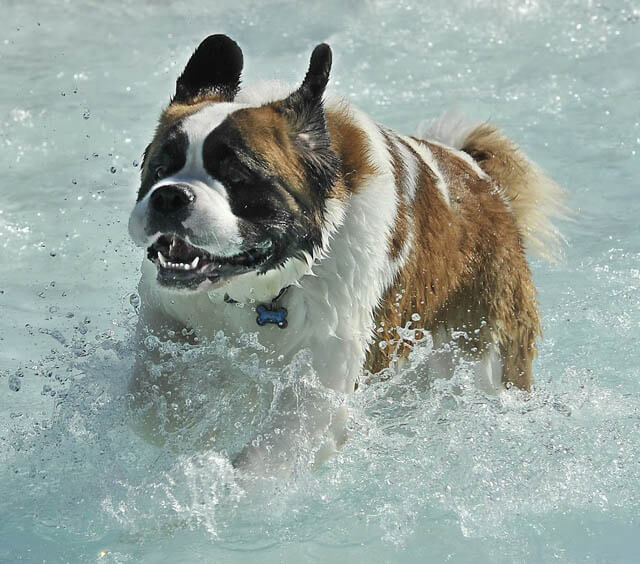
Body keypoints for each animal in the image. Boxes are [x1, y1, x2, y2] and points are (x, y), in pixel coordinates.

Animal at [126, 34, 564, 476]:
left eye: (236, 177)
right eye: (160, 168)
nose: (170, 195)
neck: (265, 290)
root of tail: (484, 183)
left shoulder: (325, 368)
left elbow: (270, 454)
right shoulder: (165, 311)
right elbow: (152, 405)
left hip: (485, 346)